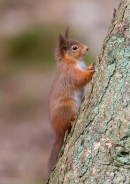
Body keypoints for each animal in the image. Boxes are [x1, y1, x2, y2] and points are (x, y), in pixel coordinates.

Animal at [47, 26, 94, 174]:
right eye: (74, 48)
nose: (87, 48)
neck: (74, 62)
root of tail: (57, 131)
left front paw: (90, 67)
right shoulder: (70, 74)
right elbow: (81, 79)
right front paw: (91, 71)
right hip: (68, 106)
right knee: (67, 123)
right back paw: (73, 119)